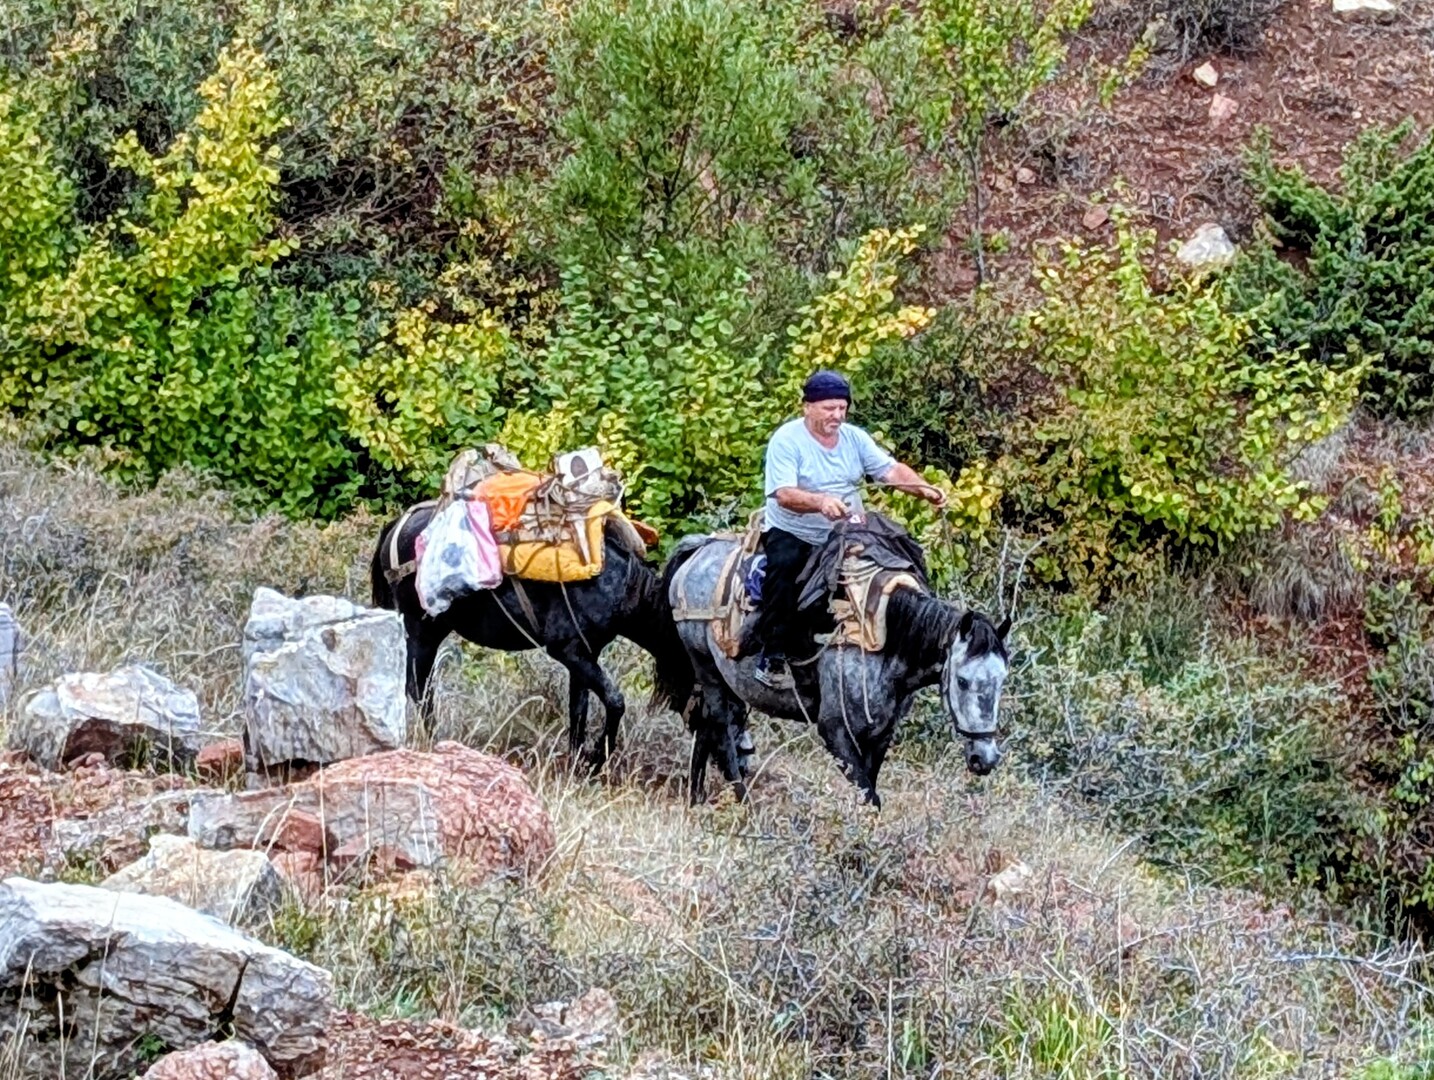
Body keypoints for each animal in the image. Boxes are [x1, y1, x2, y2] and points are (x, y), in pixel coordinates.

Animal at [370, 505, 692, 769]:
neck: (621, 585)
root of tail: (397, 526)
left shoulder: (584, 655)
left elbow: (579, 709)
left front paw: (577, 765)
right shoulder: (567, 650)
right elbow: (615, 701)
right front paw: (596, 759)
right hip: (421, 629)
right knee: (418, 688)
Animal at [659, 530, 1010, 807]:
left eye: (1001, 681)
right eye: (962, 681)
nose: (985, 759)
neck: (886, 639)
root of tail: (699, 551)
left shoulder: (881, 734)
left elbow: (870, 788)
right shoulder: (835, 731)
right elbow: (869, 795)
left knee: (706, 725)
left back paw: (696, 797)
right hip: (706, 666)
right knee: (719, 727)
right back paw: (743, 802)